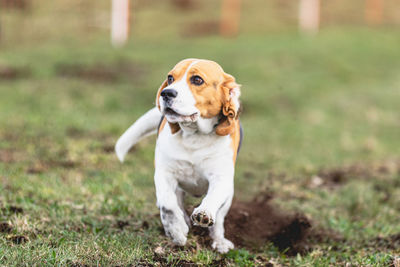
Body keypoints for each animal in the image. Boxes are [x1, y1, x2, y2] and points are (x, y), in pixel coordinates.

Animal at [114, 58, 242, 253]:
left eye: (197, 80)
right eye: (170, 78)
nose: (166, 93)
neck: (194, 136)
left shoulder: (221, 178)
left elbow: (212, 199)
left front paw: (204, 214)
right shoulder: (164, 174)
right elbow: (167, 205)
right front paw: (177, 231)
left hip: (229, 195)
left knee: (219, 220)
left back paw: (219, 241)